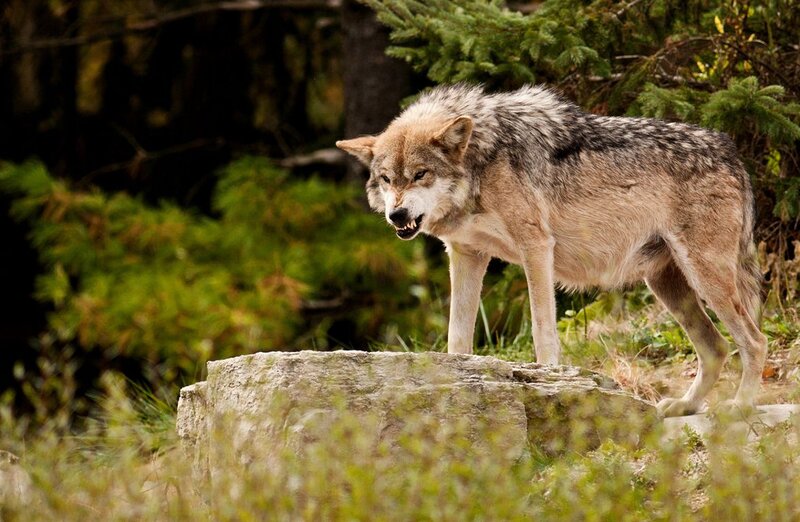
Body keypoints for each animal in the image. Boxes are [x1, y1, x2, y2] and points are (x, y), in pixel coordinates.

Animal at [337, 83, 766, 417]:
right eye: (387, 179)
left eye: (420, 175)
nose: (396, 215)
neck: (481, 161)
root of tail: (731, 151)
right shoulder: (466, 254)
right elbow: (457, 336)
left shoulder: (536, 247)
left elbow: (542, 330)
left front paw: (550, 382)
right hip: (668, 286)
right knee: (716, 348)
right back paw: (686, 406)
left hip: (707, 278)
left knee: (754, 341)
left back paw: (742, 405)